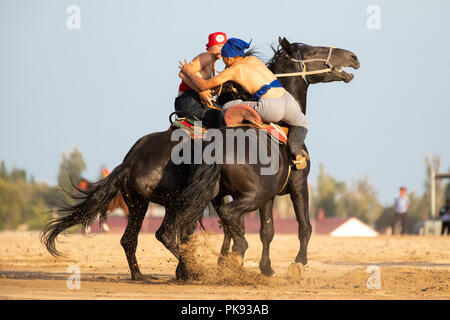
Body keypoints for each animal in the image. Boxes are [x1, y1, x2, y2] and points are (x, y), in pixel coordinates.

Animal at [41, 37, 358, 282]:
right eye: (313, 50)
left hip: (146, 203)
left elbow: (267, 230)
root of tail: (130, 160)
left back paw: (155, 273)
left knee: (143, 238)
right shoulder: (296, 187)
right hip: (206, 198)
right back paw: (205, 268)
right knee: (192, 228)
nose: (353, 57)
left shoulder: (266, 197)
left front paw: (265, 269)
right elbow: (304, 227)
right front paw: (297, 265)